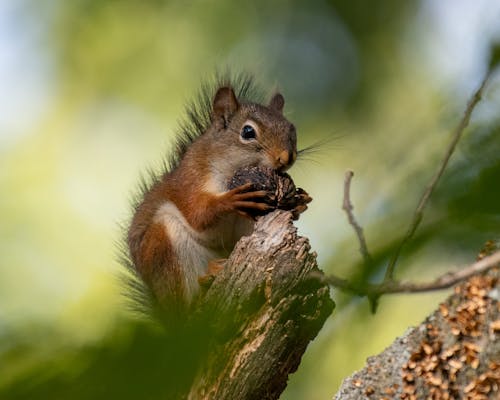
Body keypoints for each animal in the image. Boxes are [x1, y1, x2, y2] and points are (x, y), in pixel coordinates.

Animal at [125, 74, 304, 312]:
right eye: (248, 132)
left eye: (292, 130)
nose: (287, 157)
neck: (229, 168)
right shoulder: (190, 180)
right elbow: (197, 213)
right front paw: (231, 200)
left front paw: (301, 201)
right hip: (163, 246)